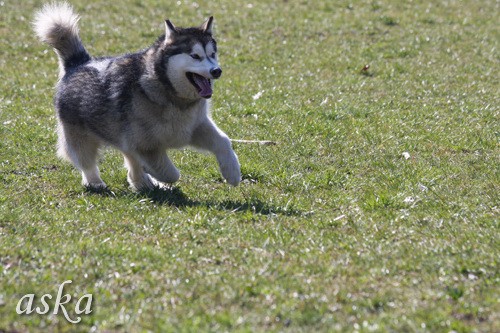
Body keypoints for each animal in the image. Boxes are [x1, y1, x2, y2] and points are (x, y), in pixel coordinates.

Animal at [32, 2, 240, 191]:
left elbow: (224, 141)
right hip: (81, 138)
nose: (216, 71)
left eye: (213, 54)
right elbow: (170, 173)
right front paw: (156, 175)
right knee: (87, 162)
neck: (171, 94)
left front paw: (232, 173)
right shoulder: (146, 145)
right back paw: (96, 182)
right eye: (195, 56)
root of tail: (78, 63)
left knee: (129, 157)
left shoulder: (194, 127)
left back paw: (141, 181)